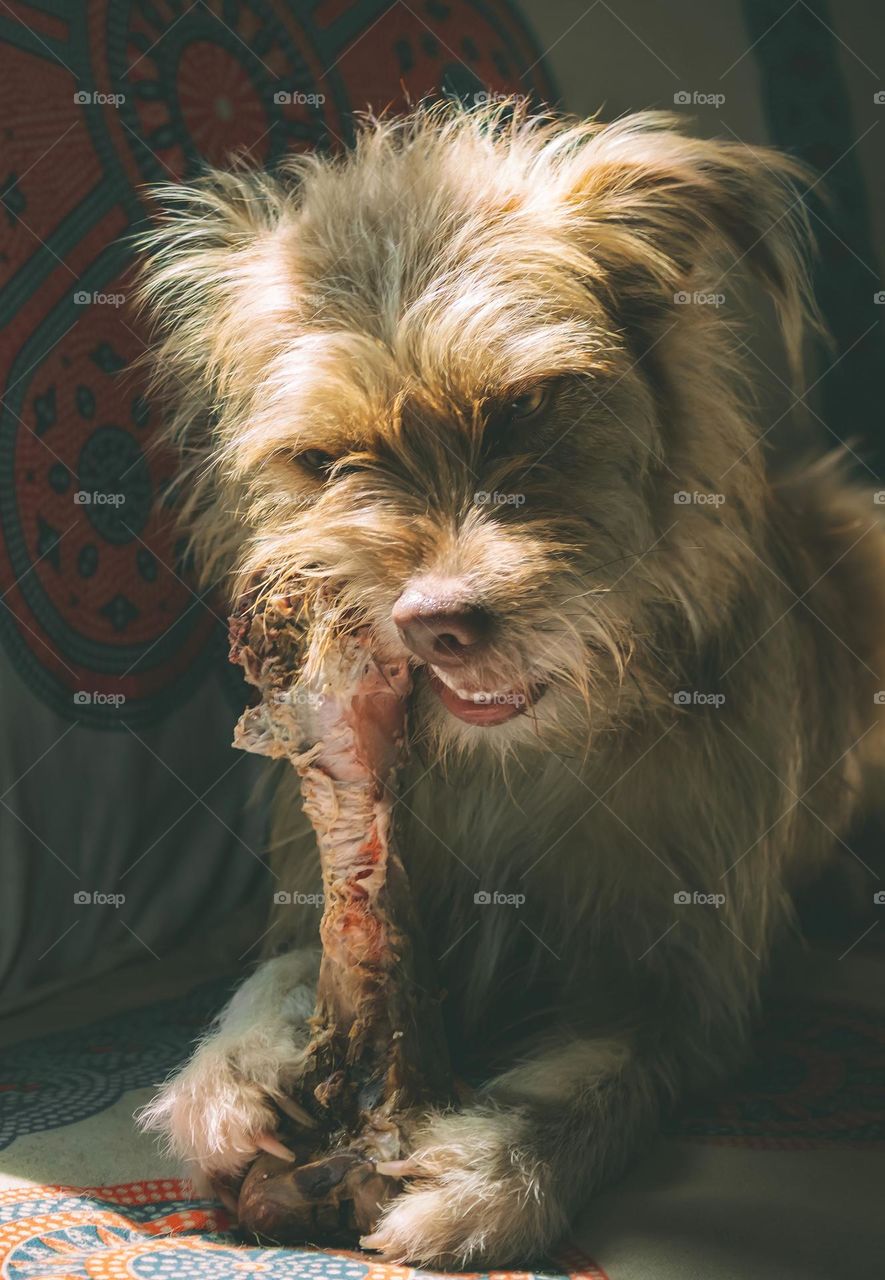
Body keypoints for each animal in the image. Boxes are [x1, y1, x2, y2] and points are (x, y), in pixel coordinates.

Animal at [133, 104, 885, 1264]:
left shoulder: (683, 980)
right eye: (321, 460)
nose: (433, 623)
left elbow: (593, 1081)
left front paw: (485, 1173)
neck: (516, 760)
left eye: (529, 405)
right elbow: (288, 965)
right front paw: (231, 1074)